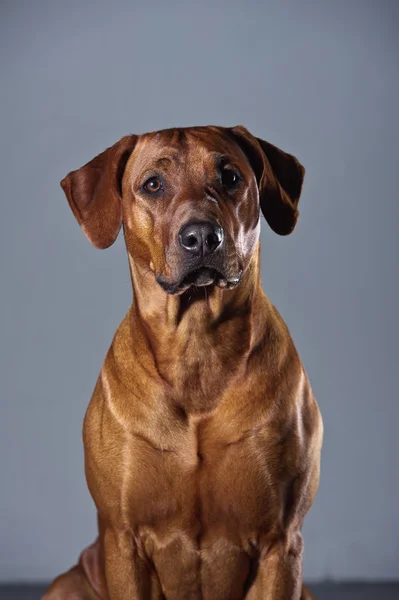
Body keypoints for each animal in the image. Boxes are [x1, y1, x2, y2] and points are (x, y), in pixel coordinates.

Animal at [43, 124, 324, 596]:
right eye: (153, 185)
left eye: (230, 177)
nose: (202, 237)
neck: (196, 347)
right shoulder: (123, 540)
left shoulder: (280, 543)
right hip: (71, 582)